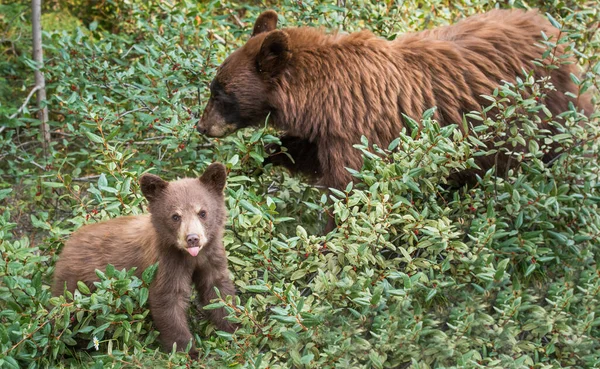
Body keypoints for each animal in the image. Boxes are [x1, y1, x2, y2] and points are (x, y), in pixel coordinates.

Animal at [197, 9, 592, 190]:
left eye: (220, 92)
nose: (201, 127)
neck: (321, 96)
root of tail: (558, 35)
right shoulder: (327, 131)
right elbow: (304, 154)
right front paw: (263, 158)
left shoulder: (361, 130)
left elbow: (350, 190)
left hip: (549, 114)